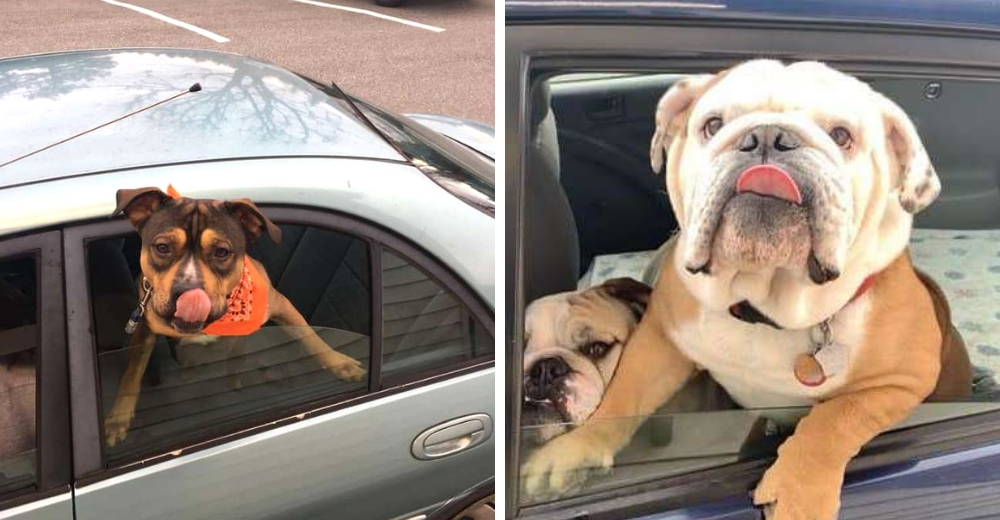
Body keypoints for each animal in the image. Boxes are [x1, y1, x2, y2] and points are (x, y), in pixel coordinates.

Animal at [106, 188, 364, 446]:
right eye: (162, 247)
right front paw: (117, 418)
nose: (188, 293)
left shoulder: (281, 305)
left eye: (222, 252)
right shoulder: (145, 328)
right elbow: (132, 371)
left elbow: (310, 336)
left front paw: (340, 363)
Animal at [520, 59, 972, 516]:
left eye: (842, 135)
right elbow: (623, 395)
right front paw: (572, 450)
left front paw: (800, 492)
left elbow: (838, 416)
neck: (766, 305)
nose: (768, 137)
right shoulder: (661, 339)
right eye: (713, 124)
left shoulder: (900, 379)